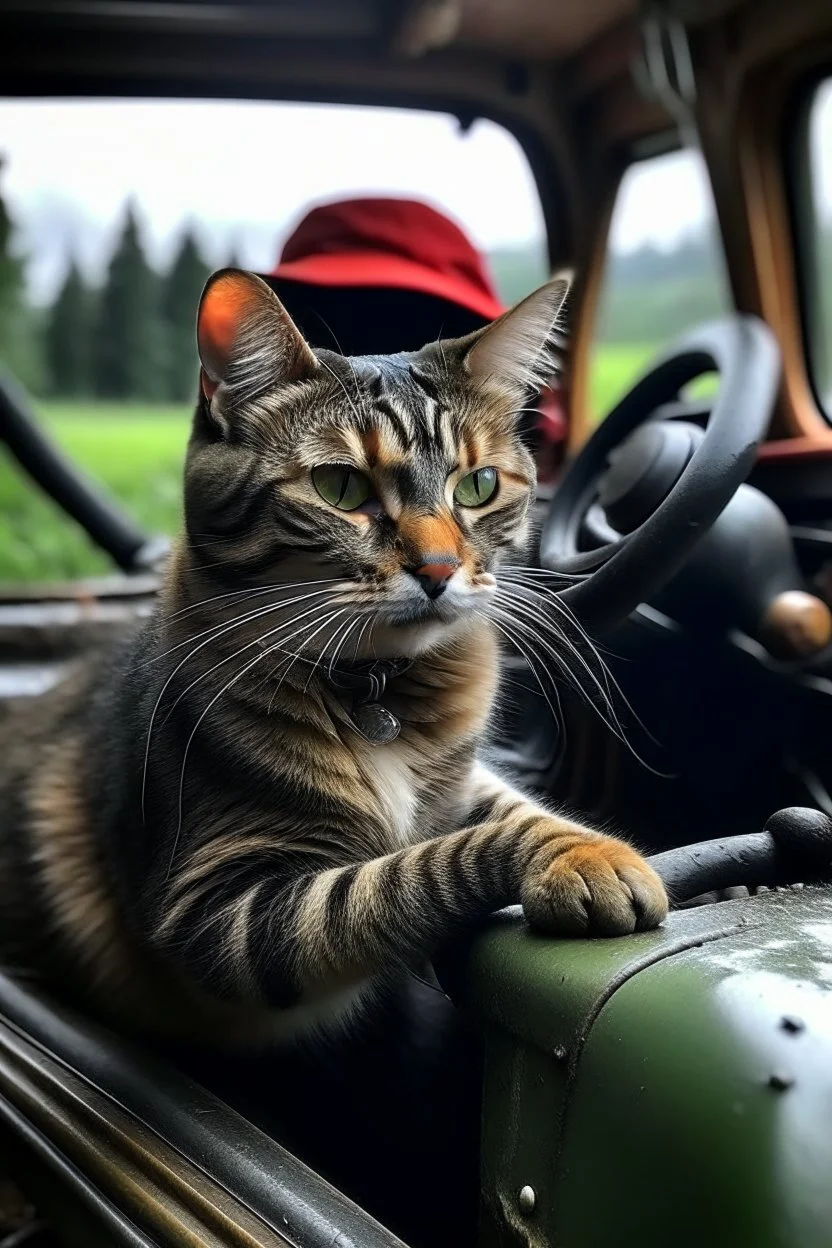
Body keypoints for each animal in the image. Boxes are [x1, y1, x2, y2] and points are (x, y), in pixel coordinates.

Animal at [0, 270, 668, 1043]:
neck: (377, 689)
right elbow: (411, 869)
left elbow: (520, 810)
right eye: (340, 488)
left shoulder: (463, 779)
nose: (440, 569)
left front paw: (591, 849)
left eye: (478, 487)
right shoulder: (223, 909)